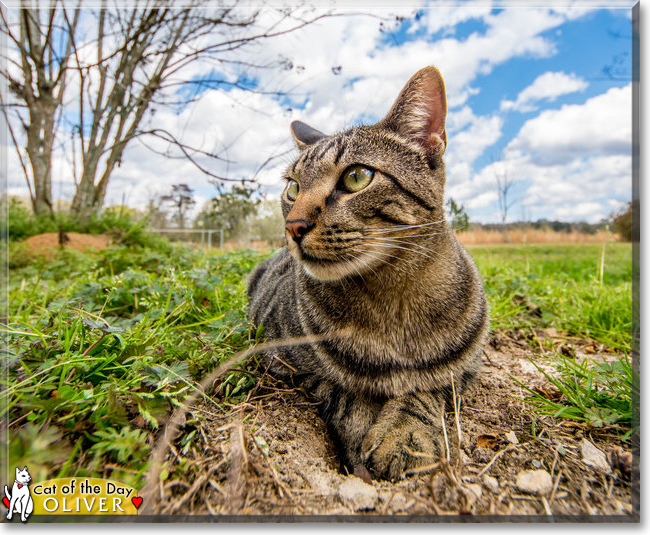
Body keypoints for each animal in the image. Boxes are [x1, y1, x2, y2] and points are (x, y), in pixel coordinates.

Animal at [247, 67, 486, 482]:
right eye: (293, 188)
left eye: (357, 177)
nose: (293, 226)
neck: (393, 300)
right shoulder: (276, 357)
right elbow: (337, 391)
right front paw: (360, 432)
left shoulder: (466, 367)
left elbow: (428, 393)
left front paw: (405, 437)